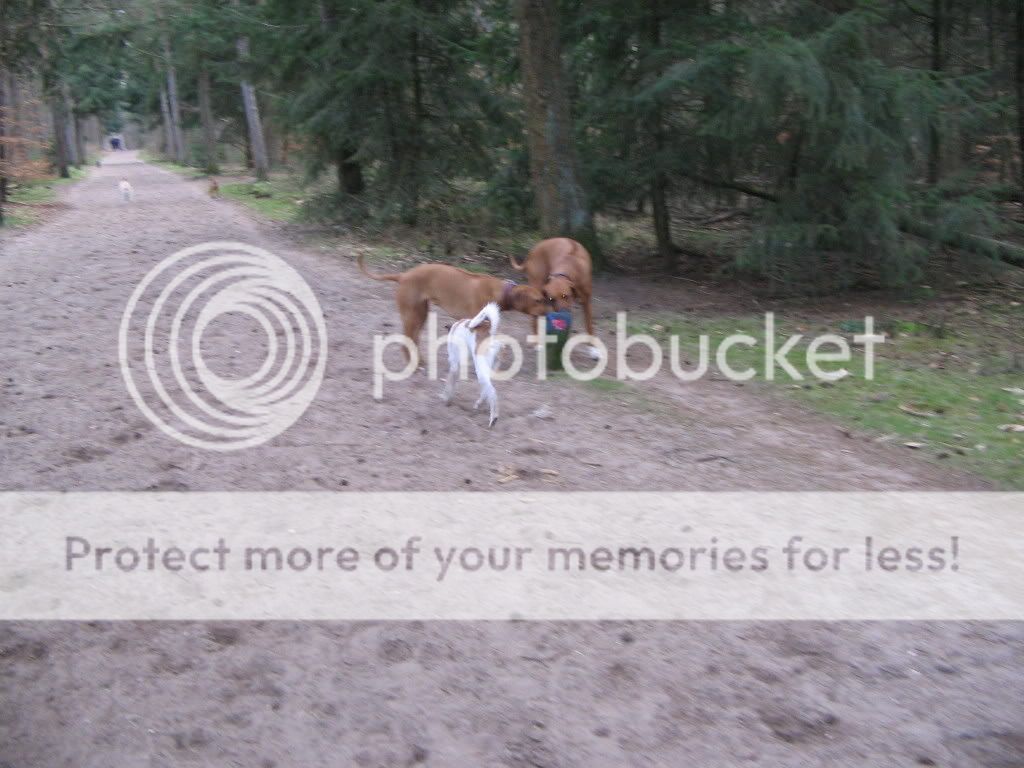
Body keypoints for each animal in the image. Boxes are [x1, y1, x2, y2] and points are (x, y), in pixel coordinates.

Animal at [358, 255, 547, 365]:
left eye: (544, 298)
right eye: (538, 300)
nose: (548, 311)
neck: (503, 291)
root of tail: (403, 276)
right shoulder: (476, 323)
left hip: (421, 313)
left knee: (414, 338)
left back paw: (421, 360)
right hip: (412, 314)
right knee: (407, 339)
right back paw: (414, 363)